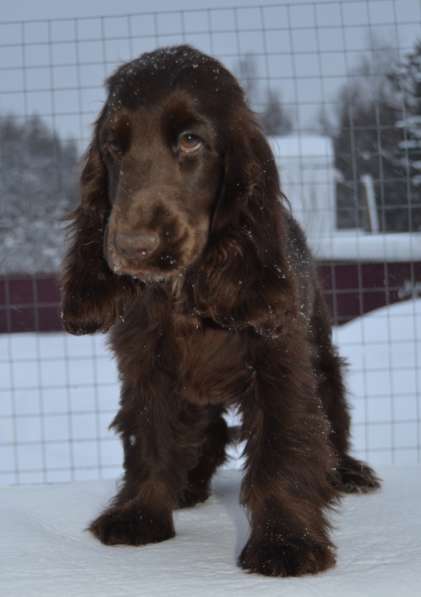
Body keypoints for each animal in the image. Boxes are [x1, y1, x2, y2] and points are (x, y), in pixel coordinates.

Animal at [60, 44, 378, 576]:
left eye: (191, 141)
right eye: (113, 147)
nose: (132, 247)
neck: (185, 290)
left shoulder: (279, 362)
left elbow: (284, 447)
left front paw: (286, 542)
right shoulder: (146, 365)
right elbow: (148, 436)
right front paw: (139, 513)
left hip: (322, 354)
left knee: (332, 421)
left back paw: (347, 472)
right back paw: (187, 485)